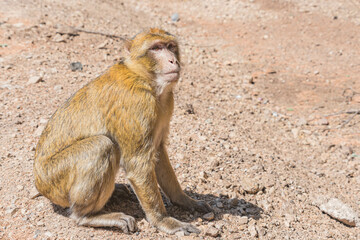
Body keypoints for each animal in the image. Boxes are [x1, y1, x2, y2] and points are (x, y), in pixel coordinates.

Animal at [33, 28, 211, 234]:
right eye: (156, 48)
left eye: (170, 46)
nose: (173, 60)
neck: (144, 78)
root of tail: (40, 183)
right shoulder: (139, 104)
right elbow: (137, 164)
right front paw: (164, 221)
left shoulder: (166, 104)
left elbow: (158, 152)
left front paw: (184, 200)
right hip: (56, 180)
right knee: (101, 146)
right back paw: (86, 216)